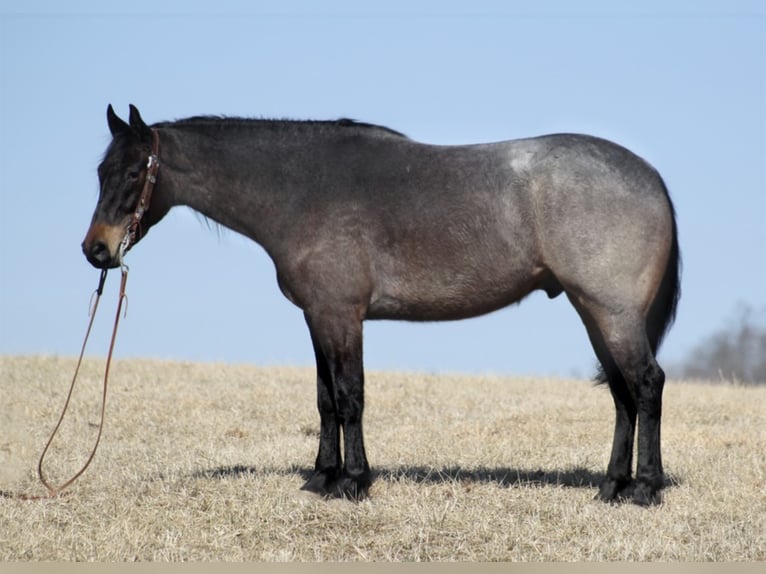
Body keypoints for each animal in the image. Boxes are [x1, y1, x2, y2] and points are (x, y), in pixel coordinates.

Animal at [85, 106, 684, 506]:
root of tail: (651, 177)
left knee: (646, 384)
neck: (302, 190)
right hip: (593, 313)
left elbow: (350, 396)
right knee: (622, 394)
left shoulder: (341, 316)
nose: (96, 250)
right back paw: (611, 485)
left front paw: (353, 482)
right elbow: (325, 400)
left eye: (136, 172)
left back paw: (645, 489)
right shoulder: (318, 317)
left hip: (612, 313)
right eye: (100, 172)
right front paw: (321, 478)